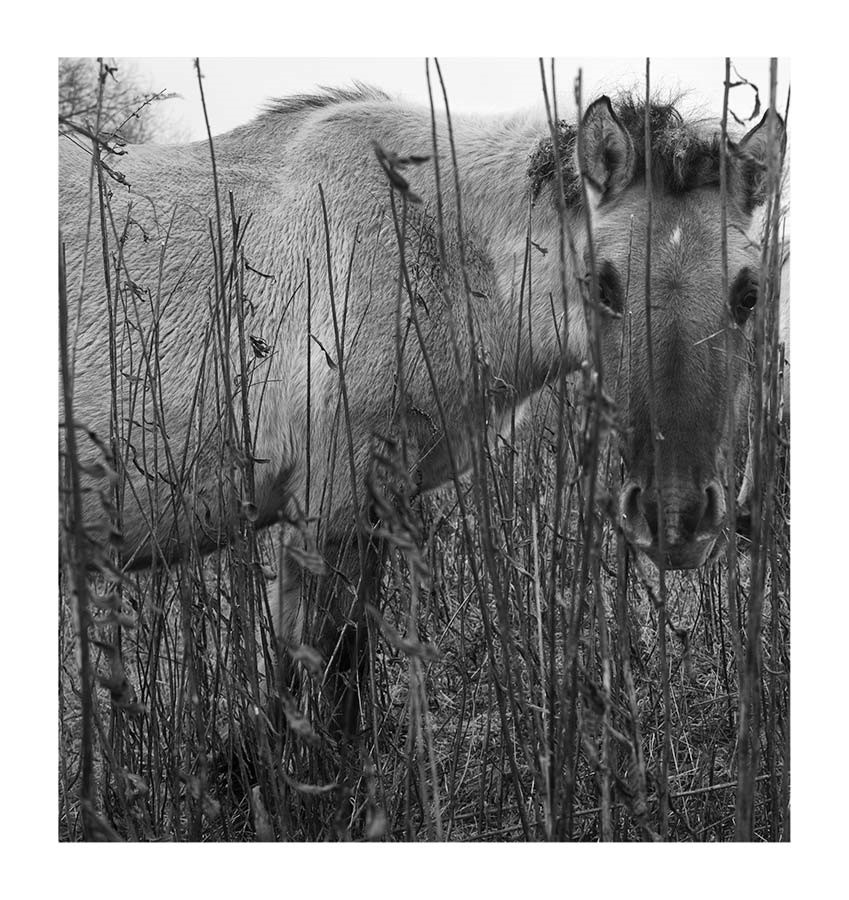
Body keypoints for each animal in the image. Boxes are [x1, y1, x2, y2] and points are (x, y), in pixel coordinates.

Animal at [59, 84, 786, 732]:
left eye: (748, 293)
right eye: (603, 286)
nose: (676, 517)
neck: (435, 241)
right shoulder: (334, 506)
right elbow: (332, 692)